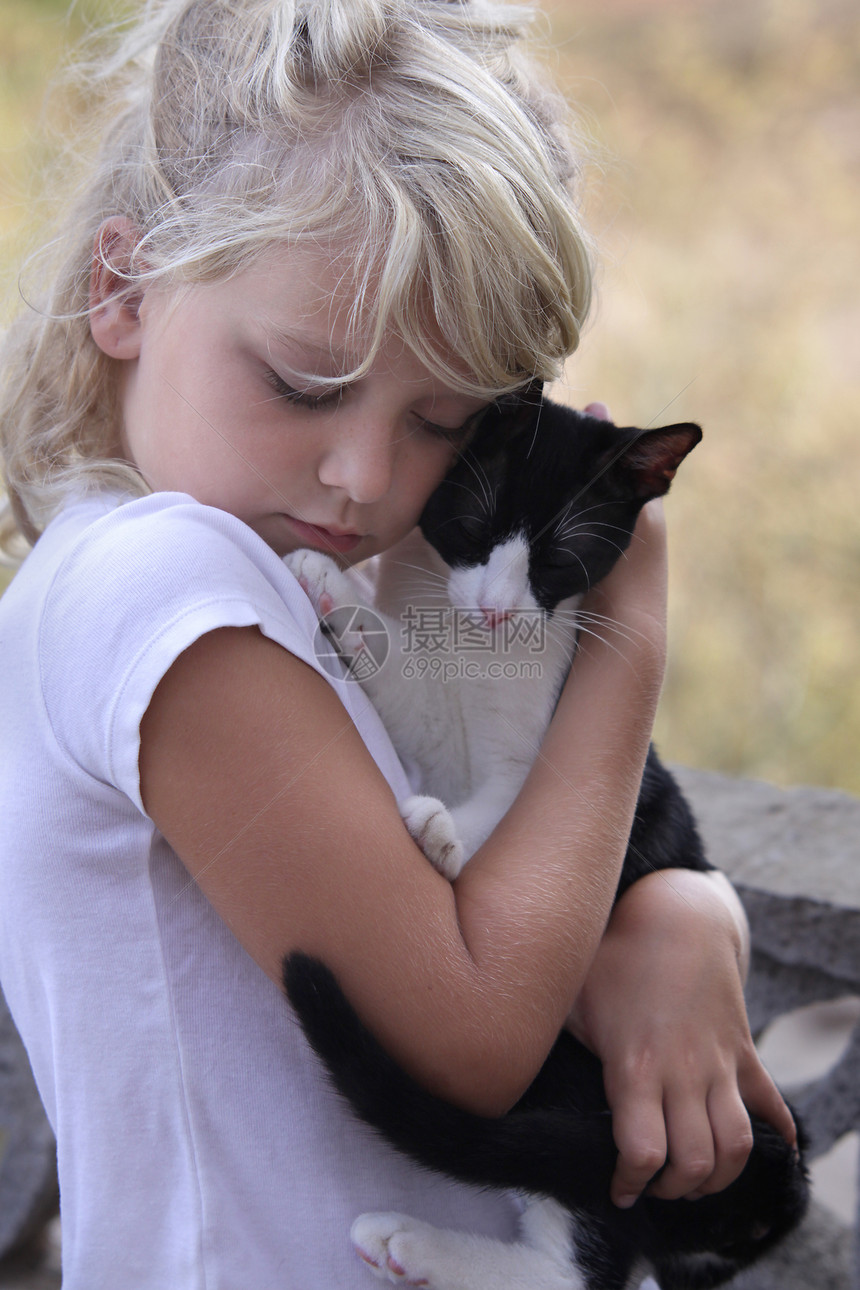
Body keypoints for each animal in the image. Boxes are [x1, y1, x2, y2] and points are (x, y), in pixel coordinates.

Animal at [286, 392, 809, 1290]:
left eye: (561, 559)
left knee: (576, 1261)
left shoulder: (543, 758)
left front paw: (440, 834)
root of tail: (780, 1173)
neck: (477, 650)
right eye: (474, 521)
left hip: (574, 1084)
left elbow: (509, 813)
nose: (497, 610)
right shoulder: (436, 706)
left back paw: (411, 1242)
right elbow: (411, 685)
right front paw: (336, 594)